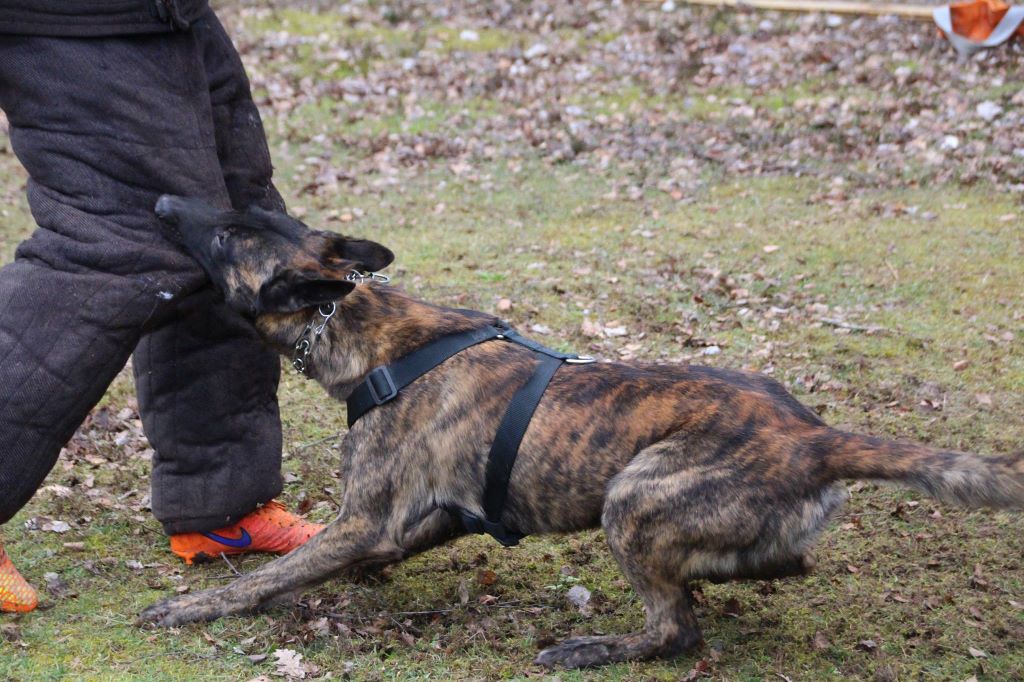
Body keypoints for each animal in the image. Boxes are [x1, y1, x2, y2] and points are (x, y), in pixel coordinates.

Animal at [142, 193, 1024, 667]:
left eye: (225, 236)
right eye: (238, 213)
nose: (162, 203)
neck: (370, 331)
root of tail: (814, 438)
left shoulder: (365, 519)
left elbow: (266, 577)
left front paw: (190, 609)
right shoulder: (427, 518)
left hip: (632, 499)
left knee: (676, 630)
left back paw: (595, 647)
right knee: (781, 565)